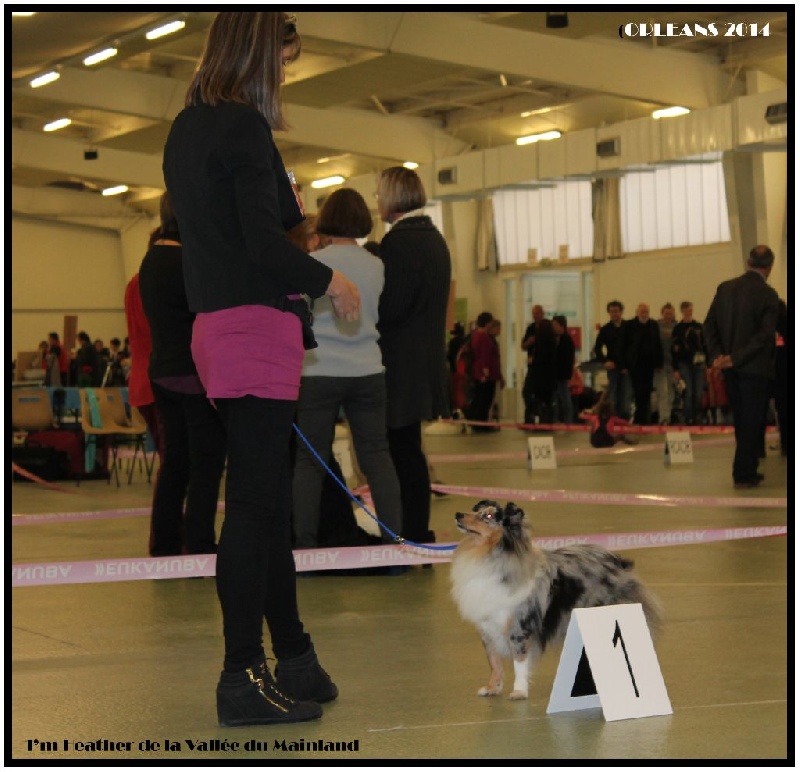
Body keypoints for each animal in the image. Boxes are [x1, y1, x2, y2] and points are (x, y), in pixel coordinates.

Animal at [450, 500, 662, 700]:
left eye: (488, 516)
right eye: (477, 510)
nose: (458, 514)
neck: (490, 556)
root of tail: (616, 559)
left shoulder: (519, 626)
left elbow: (519, 660)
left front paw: (519, 691)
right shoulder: (487, 626)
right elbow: (494, 661)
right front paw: (493, 687)